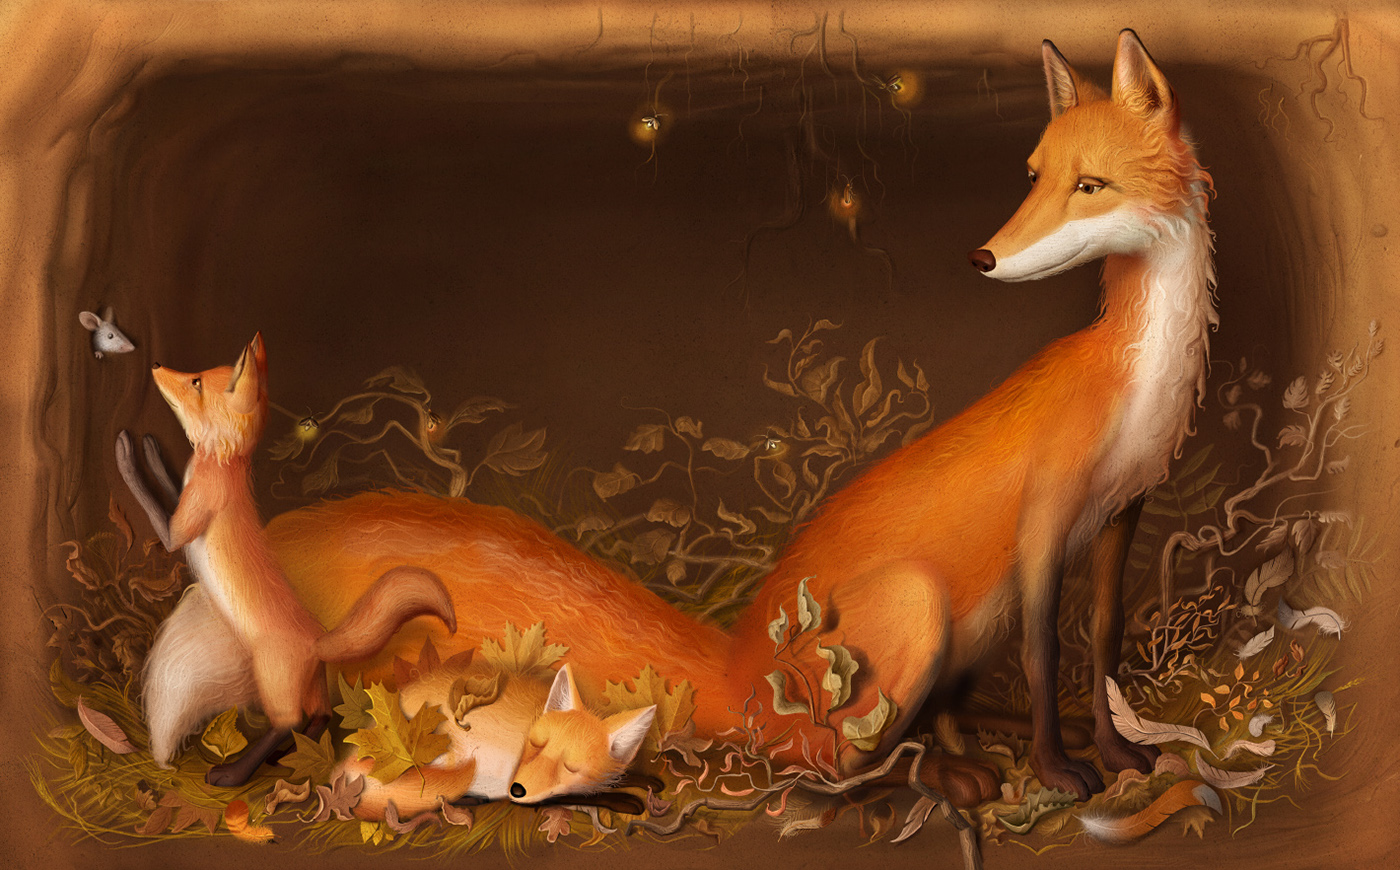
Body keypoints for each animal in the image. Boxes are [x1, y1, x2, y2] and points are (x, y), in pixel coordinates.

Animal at [115, 335, 457, 786]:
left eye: (195, 382)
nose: (154, 364)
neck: (224, 462)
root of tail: (317, 639)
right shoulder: (186, 501)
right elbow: (169, 485)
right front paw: (153, 451)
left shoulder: (181, 527)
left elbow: (153, 502)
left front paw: (127, 456)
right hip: (309, 686)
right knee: (320, 717)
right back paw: (295, 755)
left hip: (272, 681)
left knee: (287, 722)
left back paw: (235, 773)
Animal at [343, 663, 656, 819]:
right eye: (536, 745)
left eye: (570, 767)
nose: (516, 789)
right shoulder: (521, 791)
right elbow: (573, 795)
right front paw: (627, 801)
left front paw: (647, 782)